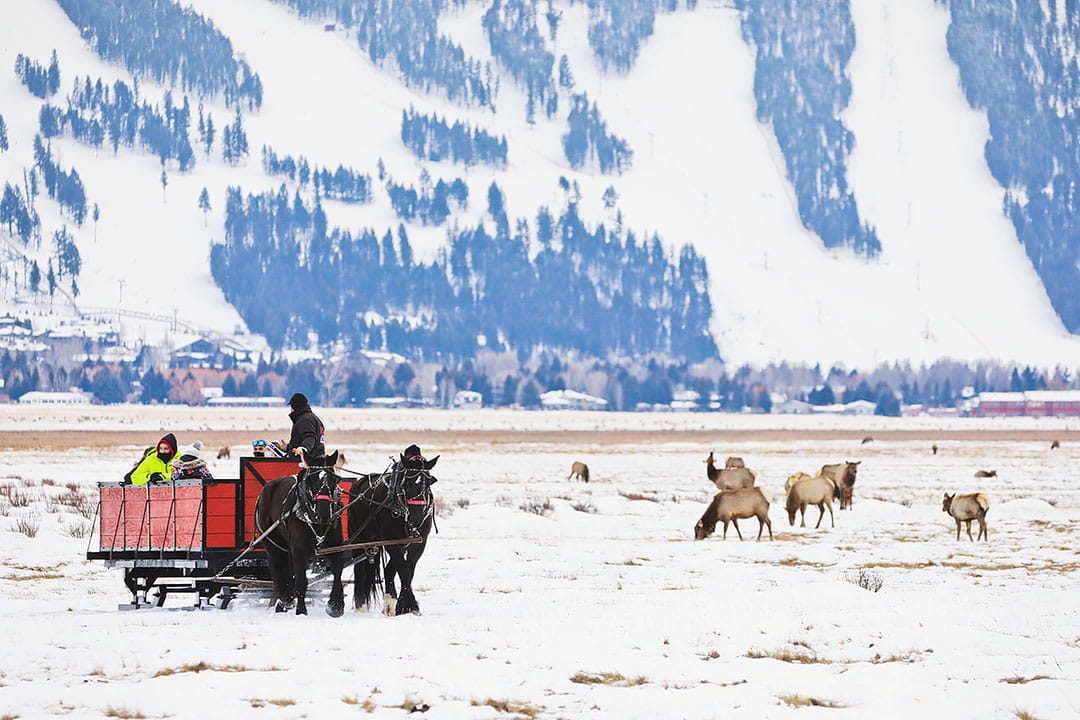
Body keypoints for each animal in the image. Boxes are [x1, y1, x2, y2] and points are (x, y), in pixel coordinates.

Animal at [254, 451, 343, 613]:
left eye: (334, 479)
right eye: (311, 480)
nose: (324, 514)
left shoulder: (336, 547)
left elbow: (337, 572)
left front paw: (336, 605)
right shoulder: (299, 550)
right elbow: (301, 581)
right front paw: (301, 611)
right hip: (272, 544)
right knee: (277, 569)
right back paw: (281, 600)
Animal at [352, 444, 440, 613]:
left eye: (428, 483)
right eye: (406, 484)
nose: (416, 518)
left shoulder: (417, 544)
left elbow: (408, 570)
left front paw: (401, 605)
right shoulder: (391, 541)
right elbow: (404, 570)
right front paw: (411, 605)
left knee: (388, 570)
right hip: (360, 538)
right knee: (359, 569)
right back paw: (360, 606)